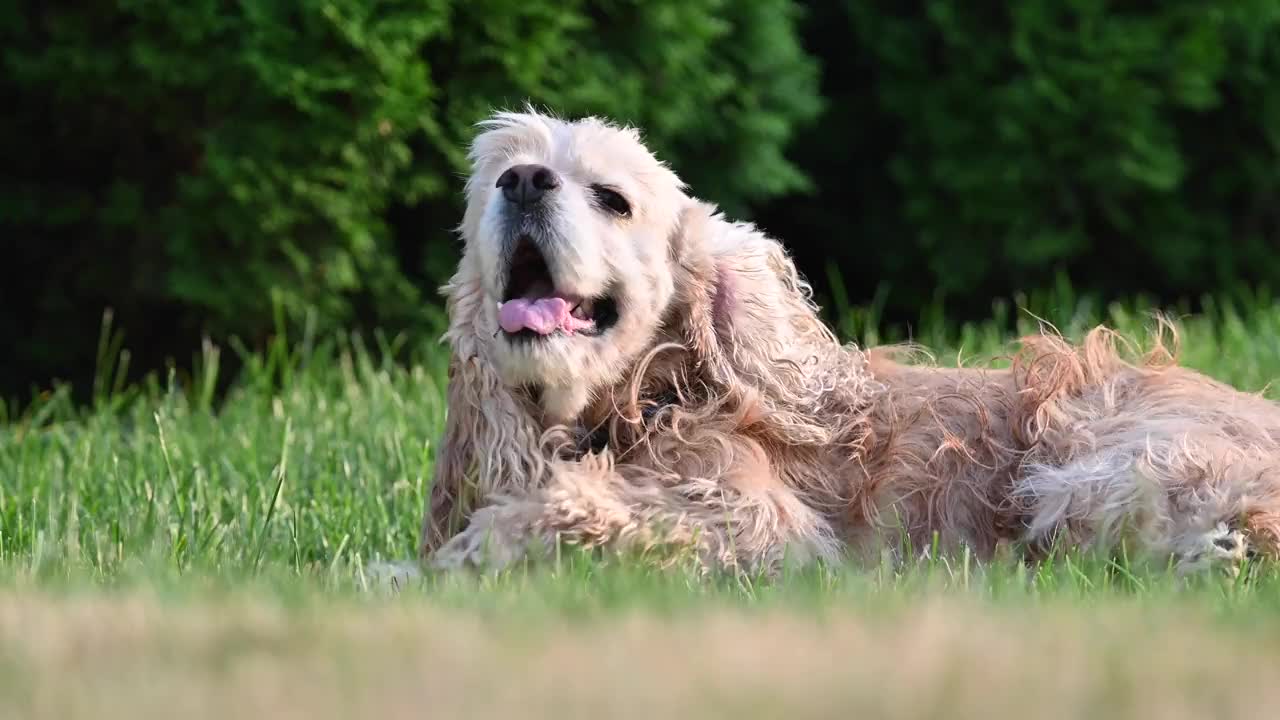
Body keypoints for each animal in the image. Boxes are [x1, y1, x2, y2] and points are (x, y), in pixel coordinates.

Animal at [419, 109, 1280, 573]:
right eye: (496, 179)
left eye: (613, 198)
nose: (523, 182)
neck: (635, 406)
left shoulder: (763, 527)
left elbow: (575, 511)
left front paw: (461, 559)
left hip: (1089, 465)